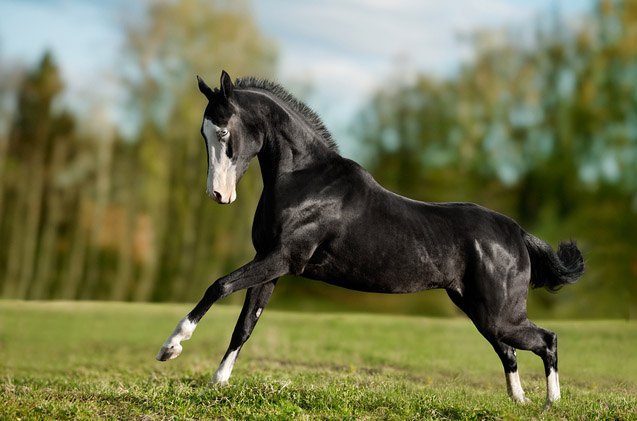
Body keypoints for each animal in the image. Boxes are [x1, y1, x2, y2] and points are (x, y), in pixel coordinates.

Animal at [157, 70, 584, 406]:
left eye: (224, 131)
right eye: (203, 133)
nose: (219, 195)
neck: (305, 180)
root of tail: (517, 233)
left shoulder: (282, 259)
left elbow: (218, 286)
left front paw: (171, 347)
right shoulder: (270, 265)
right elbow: (244, 325)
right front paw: (217, 383)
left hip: (499, 314)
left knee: (547, 339)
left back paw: (552, 403)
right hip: (480, 311)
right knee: (510, 352)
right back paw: (520, 401)